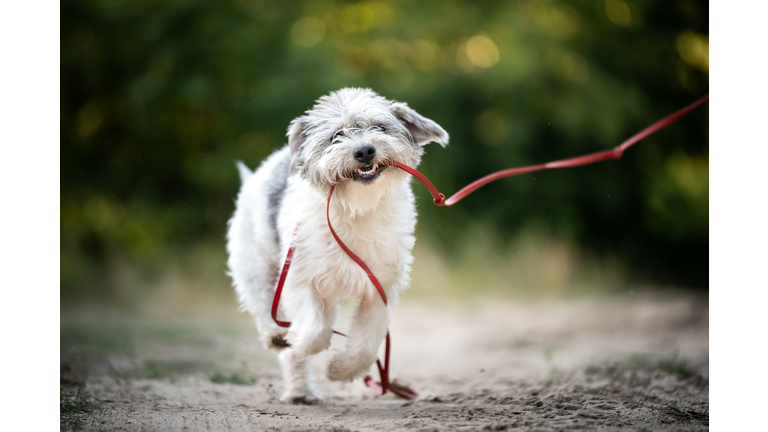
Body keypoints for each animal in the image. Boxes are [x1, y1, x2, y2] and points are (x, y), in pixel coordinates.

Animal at [225, 88, 448, 404]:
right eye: (337, 136)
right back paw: (281, 346)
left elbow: (366, 345)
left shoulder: (380, 289)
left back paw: (301, 390)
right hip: (255, 267)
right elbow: (313, 333)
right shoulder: (298, 279)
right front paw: (298, 340)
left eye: (379, 128)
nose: (364, 151)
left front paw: (340, 370)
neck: (355, 210)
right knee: (264, 306)